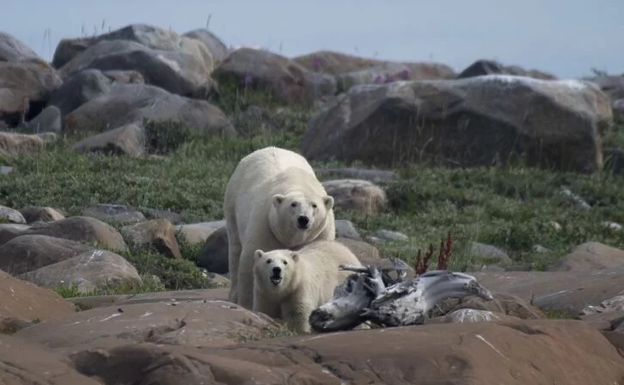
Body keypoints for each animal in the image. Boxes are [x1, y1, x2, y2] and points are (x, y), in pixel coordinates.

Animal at [222, 146, 334, 310]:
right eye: (293, 204)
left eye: (314, 206)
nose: (303, 219)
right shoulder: (265, 224)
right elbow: (251, 262)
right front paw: (248, 306)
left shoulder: (321, 233)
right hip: (233, 202)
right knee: (235, 250)